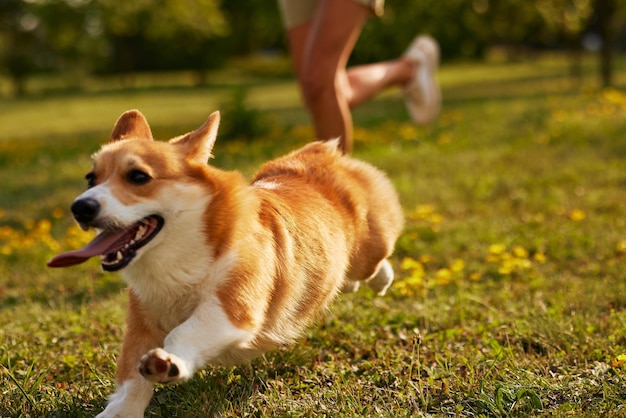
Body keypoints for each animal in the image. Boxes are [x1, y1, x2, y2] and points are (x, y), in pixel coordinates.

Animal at [46, 109, 402, 416]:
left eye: (138, 176)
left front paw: (168, 361)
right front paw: (118, 412)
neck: (177, 259)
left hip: (370, 247)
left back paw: (379, 279)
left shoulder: (231, 308)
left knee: (376, 262)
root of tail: (320, 153)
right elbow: (130, 378)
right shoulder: (140, 323)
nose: (80, 208)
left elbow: (185, 332)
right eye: (91, 178)